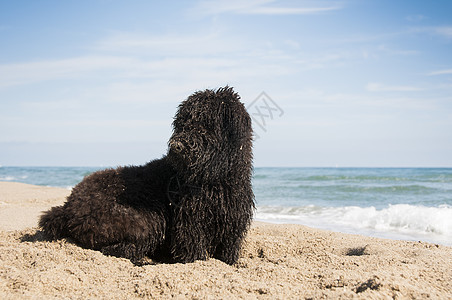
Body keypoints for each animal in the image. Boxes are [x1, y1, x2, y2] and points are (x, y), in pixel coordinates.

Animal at [38, 86, 254, 264]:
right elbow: (194, 253)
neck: (215, 180)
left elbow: (228, 252)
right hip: (144, 219)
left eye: (206, 123)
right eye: (182, 123)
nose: (177, 145)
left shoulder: (232, 224)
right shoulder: (190, 225)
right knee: (119, 250)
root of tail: (67, 208)